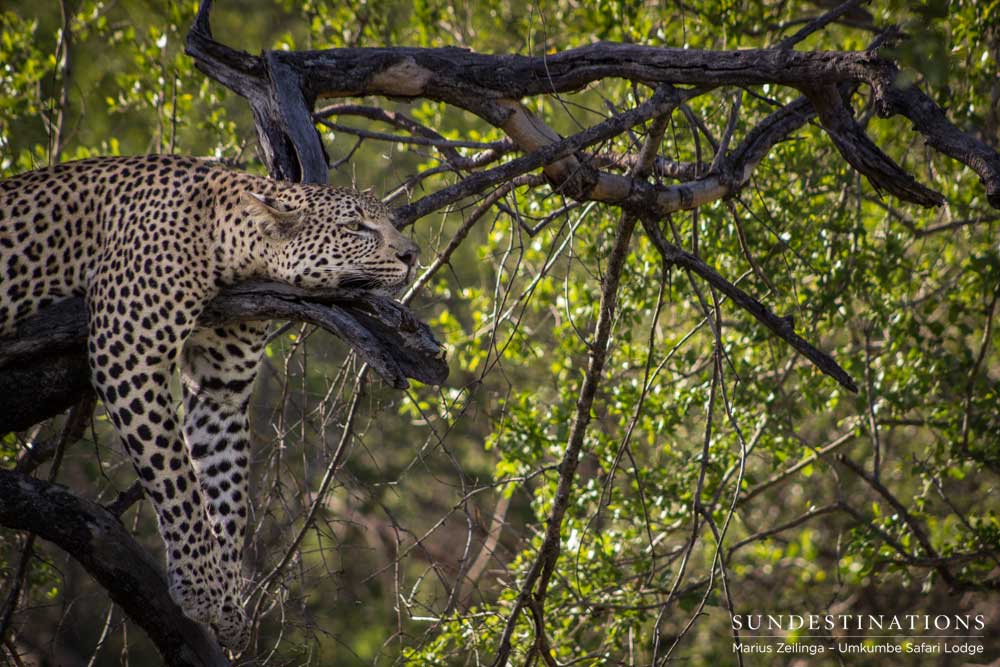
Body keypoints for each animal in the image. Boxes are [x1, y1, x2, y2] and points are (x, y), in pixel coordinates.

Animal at [0, 154, 419, 650]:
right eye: (356, 227)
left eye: (389, 222)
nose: (412, 254)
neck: (226, 246)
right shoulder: (127, 356)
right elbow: (175, 478)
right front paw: (200, 589)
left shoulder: (221, 387)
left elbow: (226, 493)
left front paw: (228, 605)